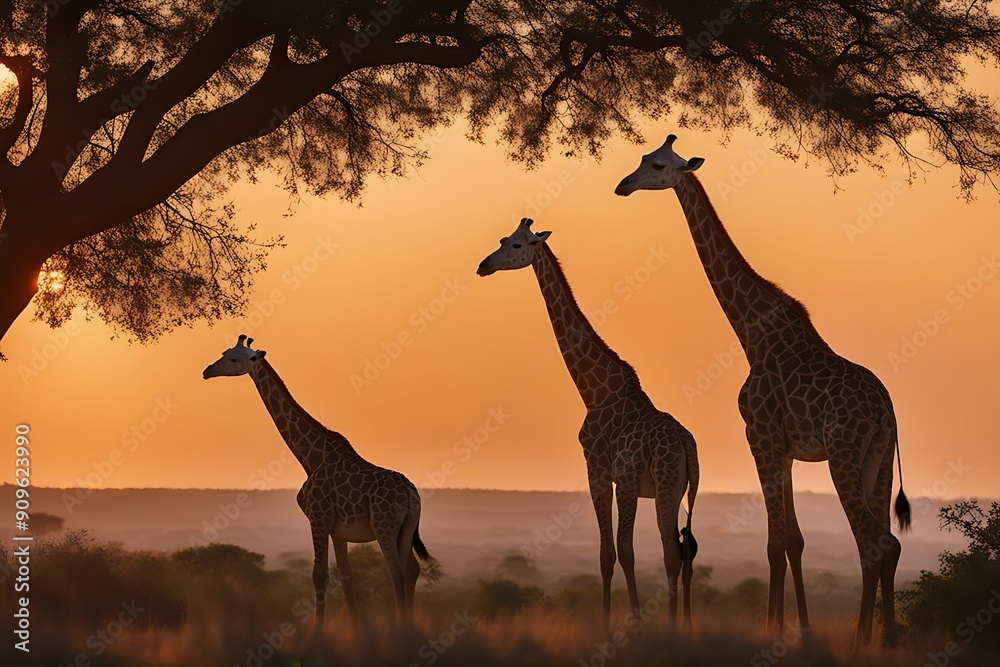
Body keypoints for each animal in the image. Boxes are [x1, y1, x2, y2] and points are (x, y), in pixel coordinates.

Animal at [202, 335, 432, 626]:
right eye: (224, 352)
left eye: (234, 359)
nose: (207, 371)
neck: (311, 456)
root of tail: (412, 495)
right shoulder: (338, 528)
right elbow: (346, 576)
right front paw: (354, 628)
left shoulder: (318, 517)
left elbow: (319, 575)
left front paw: (317, 631)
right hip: (405, 528)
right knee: (411, 569)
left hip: (384, 526)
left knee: (397, 572)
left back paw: (402, 627)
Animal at [477, 219, 699, 627]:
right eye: (502, 239)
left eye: (515, 244)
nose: (484, 265)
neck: (594, 391)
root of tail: (687, 448)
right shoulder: (615, 479)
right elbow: (616, 553)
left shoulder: (601, 472)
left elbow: (613, 554)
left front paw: (620, 625)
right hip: (681, 491)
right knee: (682, 552)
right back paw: (686, 627)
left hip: (659, 485)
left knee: (669, 552)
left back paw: (669, 627)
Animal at [615, 135, 911, 646]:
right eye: (642, 159)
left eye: (656, 166)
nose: (623, 185)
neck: (751, 332)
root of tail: (885, 410)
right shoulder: (787, 449)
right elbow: (793, 540)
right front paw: (796, 628)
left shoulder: (761, 438)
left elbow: (775, 542)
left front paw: (774, 631)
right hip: (877, 459)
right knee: (888, 543)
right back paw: (886, 638)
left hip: (844, 454)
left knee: (871, 542)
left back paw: (860, 641)